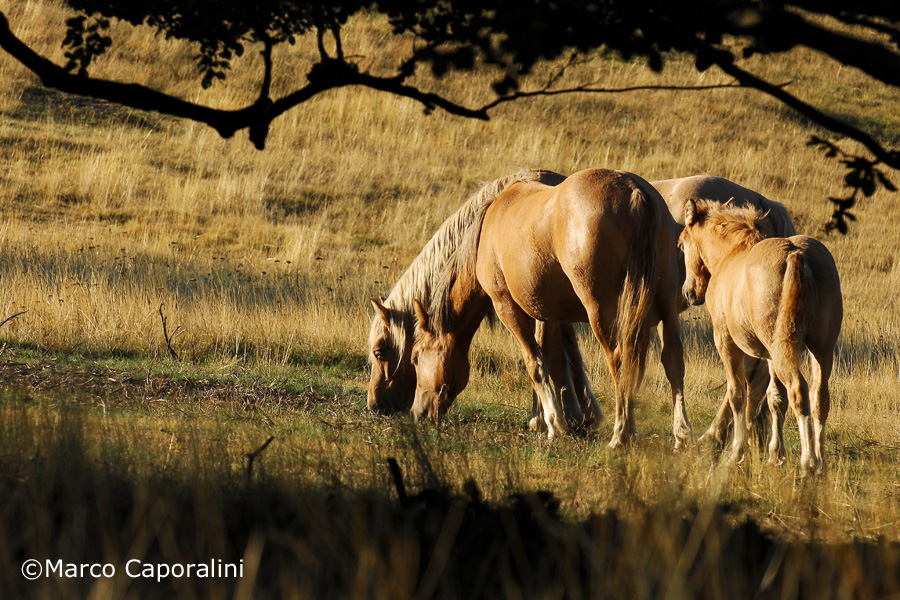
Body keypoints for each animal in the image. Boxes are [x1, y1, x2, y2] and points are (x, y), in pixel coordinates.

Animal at [367, 170, 604, 429]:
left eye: (379, 351)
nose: (374, 406)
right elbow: (567, 352)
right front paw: (580, 413)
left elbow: (549, 354)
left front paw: (546, 417)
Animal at [410, 168, 691, 448]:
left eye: (415, 357)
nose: (417, 413)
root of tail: (634, 190)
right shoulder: (548, 313)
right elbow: (552, 357)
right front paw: (543, 418)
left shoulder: (507, 308)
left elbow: (534, 362)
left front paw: (555, 425)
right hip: (665, 303)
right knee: (673, 359)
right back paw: (680, 433)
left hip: (603, 311)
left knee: (621, 361)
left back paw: (621, 435)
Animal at [679, 198, 842, 474]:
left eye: (681, 244)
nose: (689, 292)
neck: (731, 255)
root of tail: (797, 254)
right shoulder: (768, 356)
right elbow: (775, 399)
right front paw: (775, 455)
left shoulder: (726, 343)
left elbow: (737, 395)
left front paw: (736, 453)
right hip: (820, 350)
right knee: (819, 398)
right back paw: (821, 464)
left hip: (785, 350)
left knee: (799, 392)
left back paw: (808, 462)